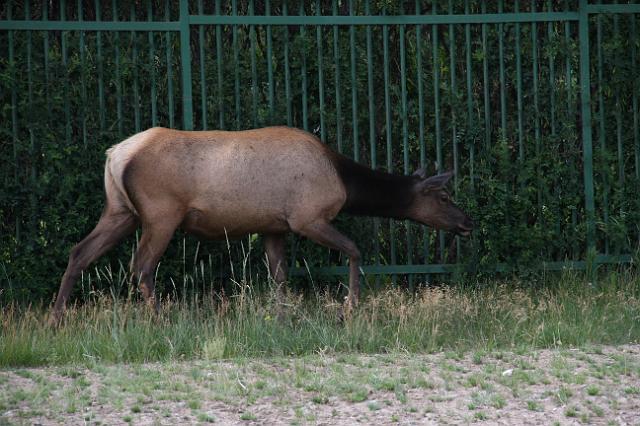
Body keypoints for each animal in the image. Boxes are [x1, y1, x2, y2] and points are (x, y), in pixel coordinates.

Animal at [52, 125, 472, 320]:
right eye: (444, 197)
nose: (467, 223)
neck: (344, 182)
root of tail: (115, 155)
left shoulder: (274, 226)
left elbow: (280, 276)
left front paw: (281, 318)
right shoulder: (307, 216)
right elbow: (354, 250)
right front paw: (348, 308)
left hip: (120, 211)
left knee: (79, 252)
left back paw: (57, 320)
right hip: (160, 213)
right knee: (141, 266)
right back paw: (158, 321)